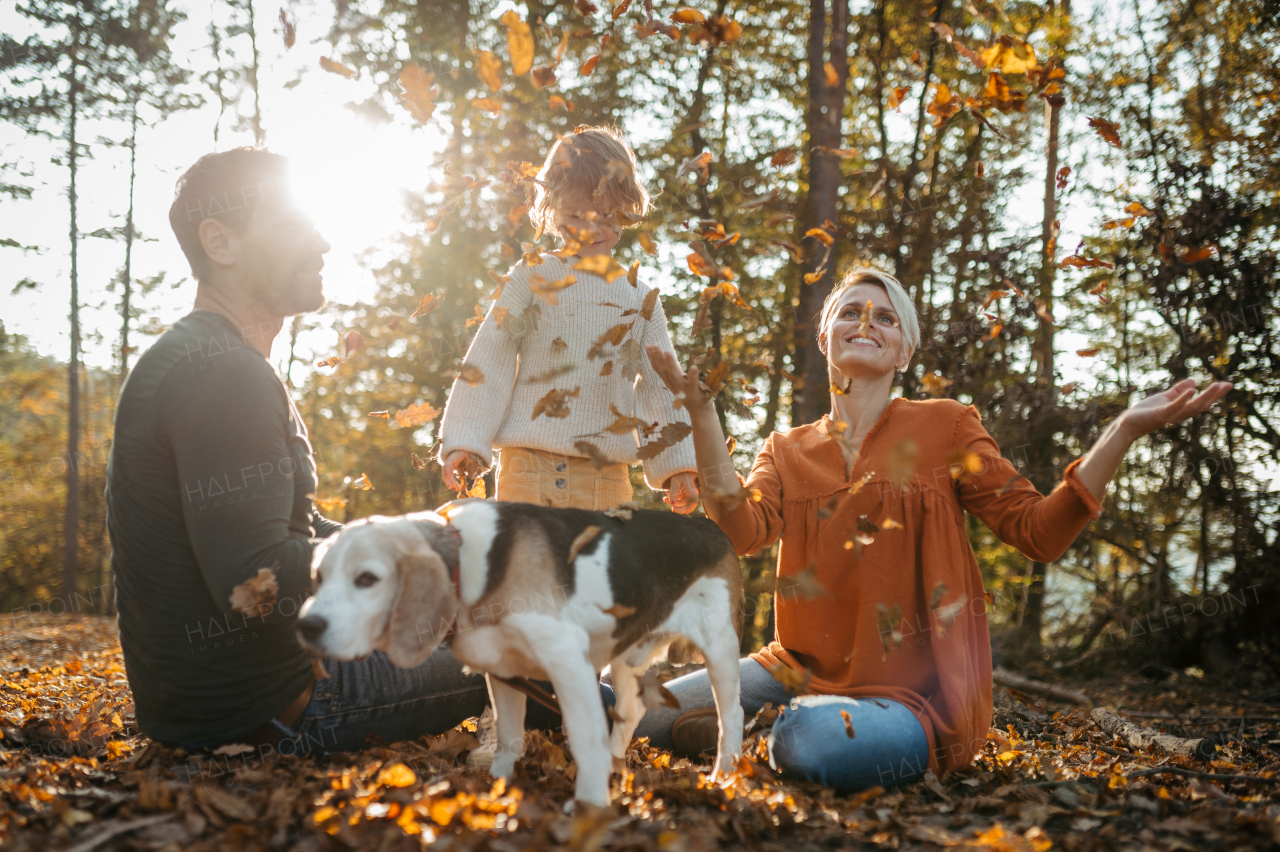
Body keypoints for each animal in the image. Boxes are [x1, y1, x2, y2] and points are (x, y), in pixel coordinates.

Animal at [293, 498, 747, 803]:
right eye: (318, 577)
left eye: (367, 579)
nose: (306, 626)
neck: (467, 561)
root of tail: (711, 527)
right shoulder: (504, 669)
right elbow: (509, 737)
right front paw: (499, 786)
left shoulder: (568, 662)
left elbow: (584, 738)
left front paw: (588, 806)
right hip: (623, 653)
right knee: (630, 711)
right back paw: (617, 762)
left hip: (720, 648)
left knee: (732, 715)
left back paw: (723, 774)